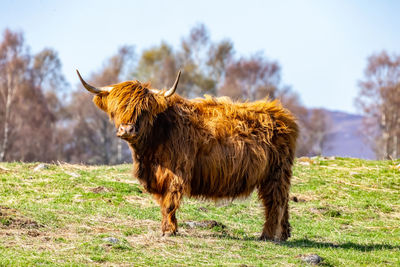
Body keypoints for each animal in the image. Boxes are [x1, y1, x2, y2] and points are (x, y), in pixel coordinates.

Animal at [76, 70, 298, 242]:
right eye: (116, 109)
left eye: (143, 110)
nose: (127, 130)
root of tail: (281, 113)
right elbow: (163, 203)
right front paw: (168, 228)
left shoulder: (176, 172)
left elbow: (170, 202)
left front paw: (169, 231)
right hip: (280, 175)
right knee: (284, 200)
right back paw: (284, 234)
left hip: (276, 173)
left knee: (275, 202)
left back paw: (267, 235)